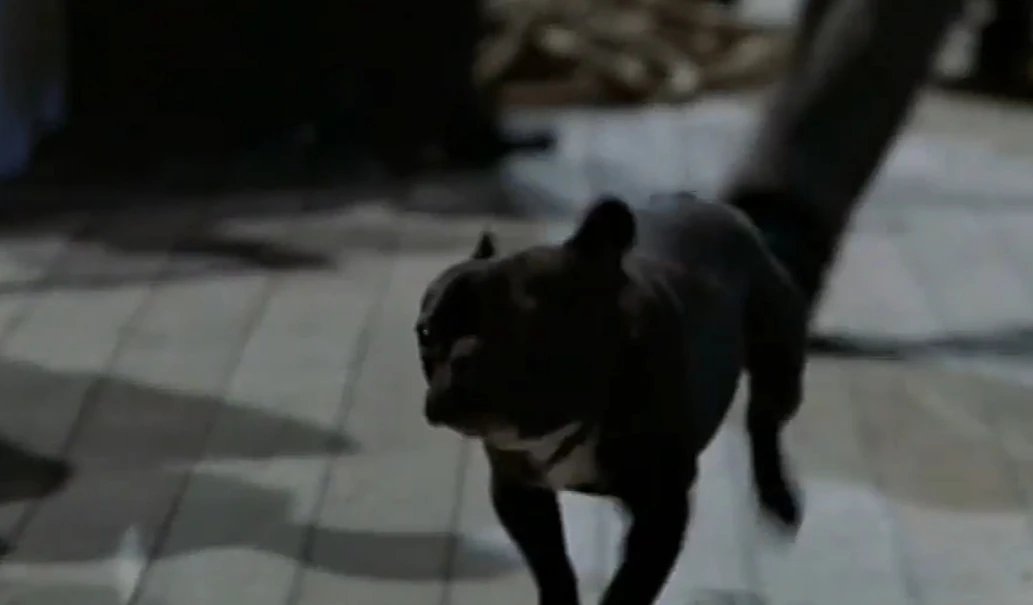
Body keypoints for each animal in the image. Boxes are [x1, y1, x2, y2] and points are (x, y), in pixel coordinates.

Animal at [417, 194, 808, 605]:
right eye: (425, 333)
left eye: (522, 330)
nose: (461, 360)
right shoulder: (519, 491)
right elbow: (552, 565)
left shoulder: (663, 507)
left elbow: (630, 586)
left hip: (779, 361)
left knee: (763, 421)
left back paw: (778, 498)